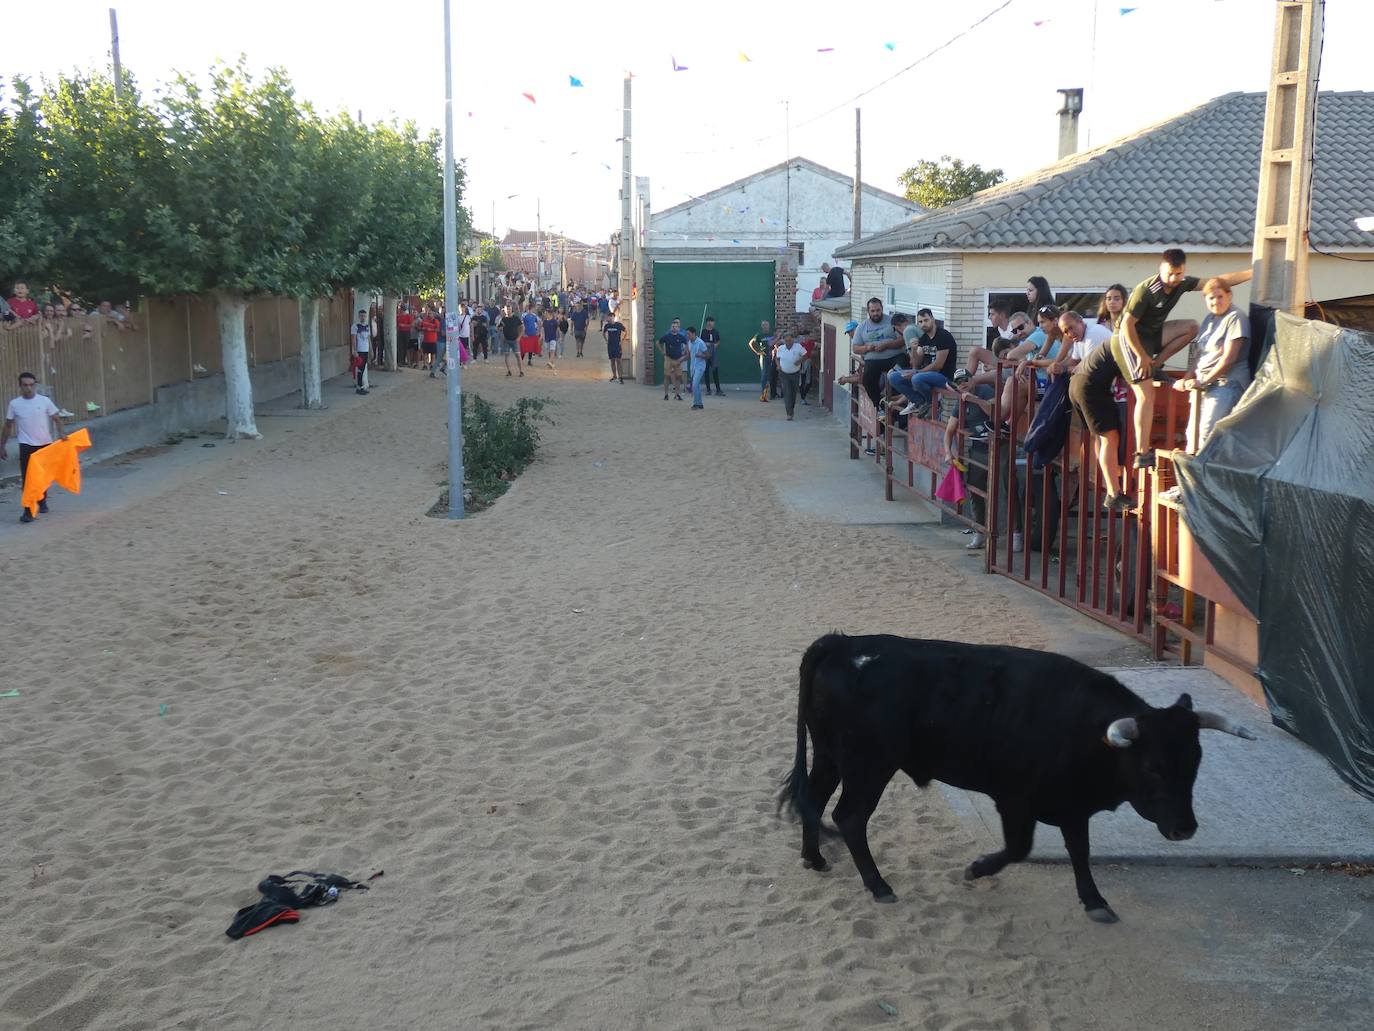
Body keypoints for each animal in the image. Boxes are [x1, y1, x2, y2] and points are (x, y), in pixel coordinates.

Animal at [780, 635, 1253, 923]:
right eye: (1153, 765)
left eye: (1196, 760)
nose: (1184, 829)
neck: (1082, 728)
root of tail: (843, 643)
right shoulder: (1015, 800)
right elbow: (1019, 848)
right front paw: (977, 869)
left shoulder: (1073, 804)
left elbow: (1080, 851)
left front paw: (1095, 901)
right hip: (869, 765)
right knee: (849, 817)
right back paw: (878, 885)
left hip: (829, 755)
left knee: (814, 800)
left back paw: (814, 858)